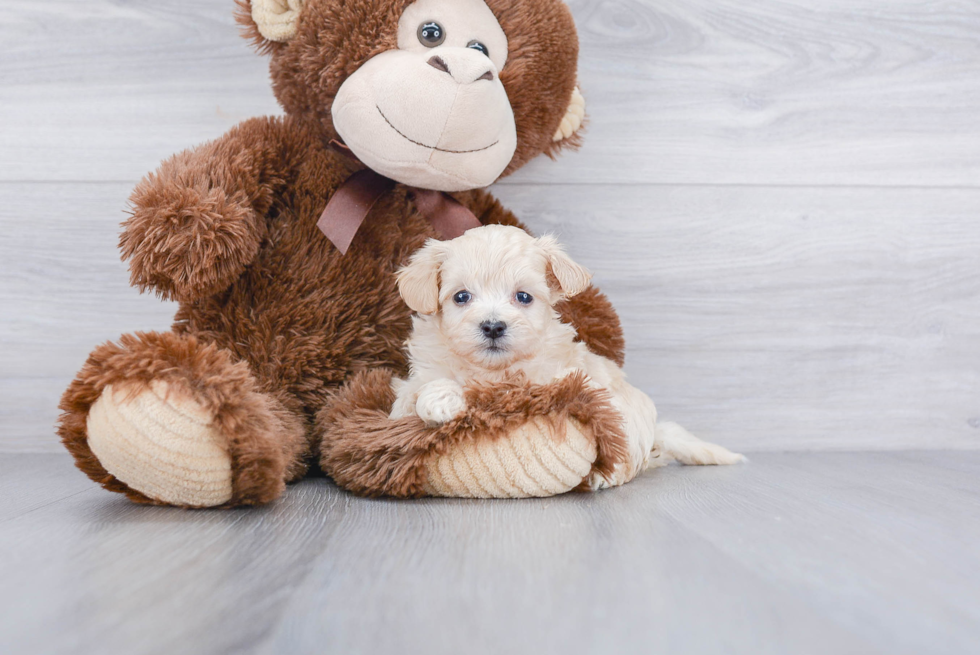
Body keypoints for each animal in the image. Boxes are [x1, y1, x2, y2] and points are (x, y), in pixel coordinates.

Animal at [390, 226, 744, 486]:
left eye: (523, 297)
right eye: (461, 297)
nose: (493, 326)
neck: (494, 370)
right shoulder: (413, 386)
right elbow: (417, 393)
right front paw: (440, 400)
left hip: (625, 424)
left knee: (625, 458)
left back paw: (604, 477)